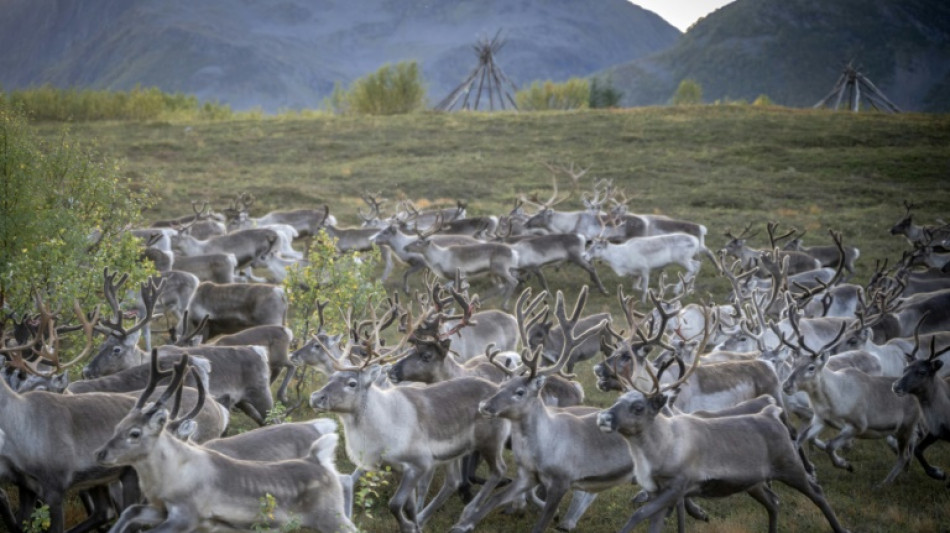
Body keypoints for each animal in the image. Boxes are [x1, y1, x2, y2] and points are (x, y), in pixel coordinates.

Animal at [95, 353, 357, 533]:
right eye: (117, 426)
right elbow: (130, 511)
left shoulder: (187, 516)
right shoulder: (162, 510)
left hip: (331, 519)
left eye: (135, 433)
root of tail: (318, 455)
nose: (100, 454)